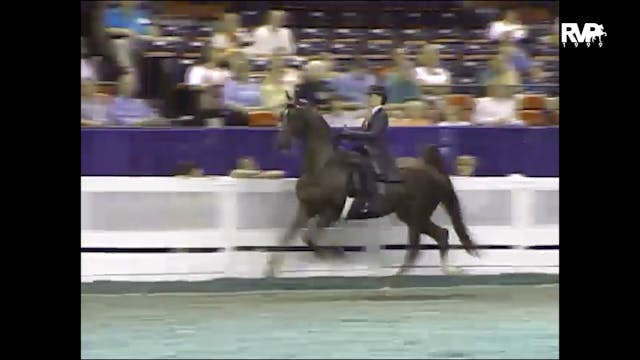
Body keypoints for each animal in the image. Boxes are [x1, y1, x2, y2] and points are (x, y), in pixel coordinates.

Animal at [262, 100, 478, 278]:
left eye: (290, 118)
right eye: (280, 116)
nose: (280, 144)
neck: (323, 165)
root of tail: (432, 169)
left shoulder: (330, 212)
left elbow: (308, 237)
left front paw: (334, 256)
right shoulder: (305, 208)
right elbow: (288, 236)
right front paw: (270, 269)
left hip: (417, 215)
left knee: (418, 246)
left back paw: (396, 280)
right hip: (410, 215)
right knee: (440, 235)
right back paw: (439, 272)